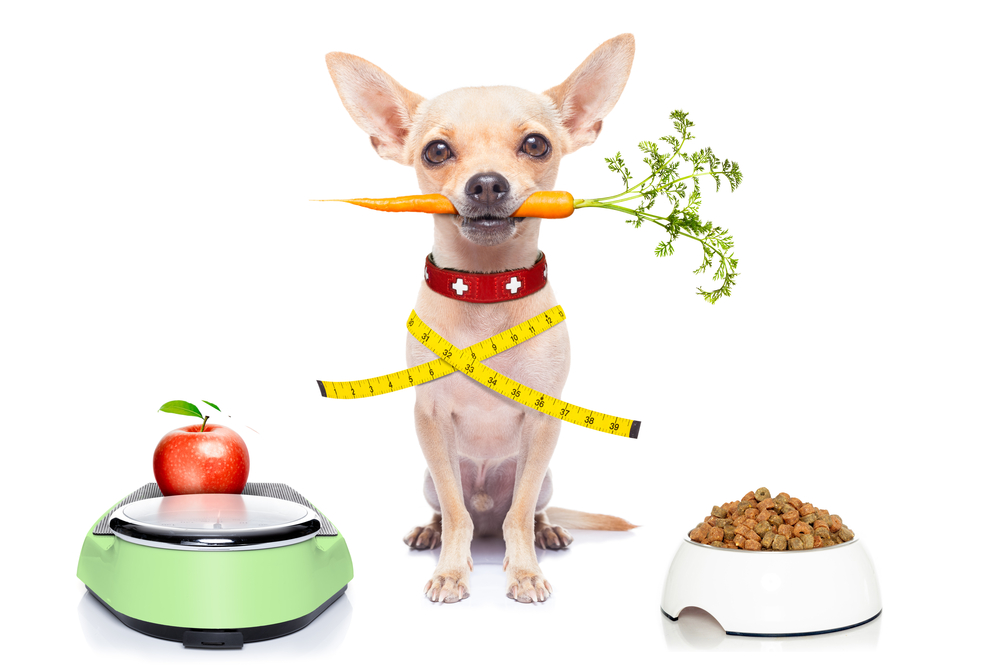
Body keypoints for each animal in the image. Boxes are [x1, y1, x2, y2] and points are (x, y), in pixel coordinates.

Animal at [328, 32, 640, 600]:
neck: (487, 291)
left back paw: (546, 531)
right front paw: (451, 569)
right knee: (460, 512)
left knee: (523, 511)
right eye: (436, 151)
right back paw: (430, 532)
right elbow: (457, 515)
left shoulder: (543, 423)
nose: (488, 184)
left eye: (536, 144)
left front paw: (524, 571)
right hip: (431, 477)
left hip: (545, 478)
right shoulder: (430, 421)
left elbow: (520, 512)